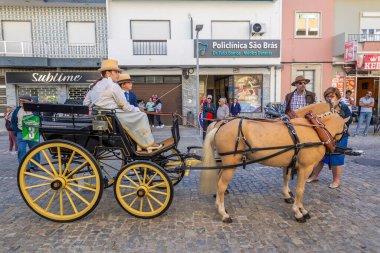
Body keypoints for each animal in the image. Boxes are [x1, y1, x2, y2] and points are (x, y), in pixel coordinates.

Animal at [203, 103, 348, 223]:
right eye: (346, 129)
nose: (341, 149)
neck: (315, 130)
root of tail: (220, 126)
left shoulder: (290, 162)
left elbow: (287, 178)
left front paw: (293, 201)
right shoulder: (305, 168)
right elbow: (300, 189)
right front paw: (298, 212)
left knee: (218, 180)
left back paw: (219, 205)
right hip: (230, 163)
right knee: (221, 185)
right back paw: (224, 213)